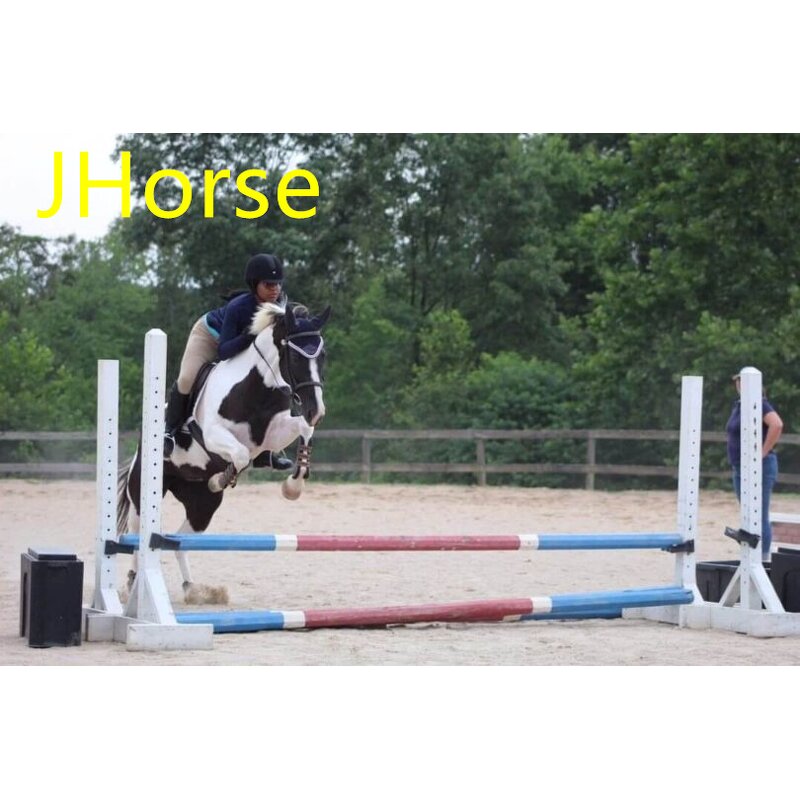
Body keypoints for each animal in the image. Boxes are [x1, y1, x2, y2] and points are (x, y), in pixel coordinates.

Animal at [116, 301, 329, 603]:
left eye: (322, 356)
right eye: (296, 358)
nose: (317, 411)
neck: (257, 388)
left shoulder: (273, 433)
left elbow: (304, 431)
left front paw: (293, 486)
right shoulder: (213, 435)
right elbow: (239, 455)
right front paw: (221, 478)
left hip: (202, 506)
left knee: (180, 539)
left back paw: (194, 589)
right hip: (143, 492)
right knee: (136, 536)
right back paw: (133, 583)